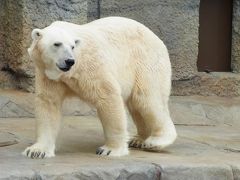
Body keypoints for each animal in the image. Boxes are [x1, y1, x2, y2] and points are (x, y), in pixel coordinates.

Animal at [22, 16, 176, 158]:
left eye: (72, 46)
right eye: (57, 44)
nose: (69, 61)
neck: (69, 72)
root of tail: (157, 38)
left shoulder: (91, 67)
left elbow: (108, 95)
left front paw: (110, 150)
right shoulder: (47, 75)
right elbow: (48, 103)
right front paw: (37, 151)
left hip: (145, 62)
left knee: (147, 99)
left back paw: (156, 141)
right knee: (137, 106)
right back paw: (138, 139)